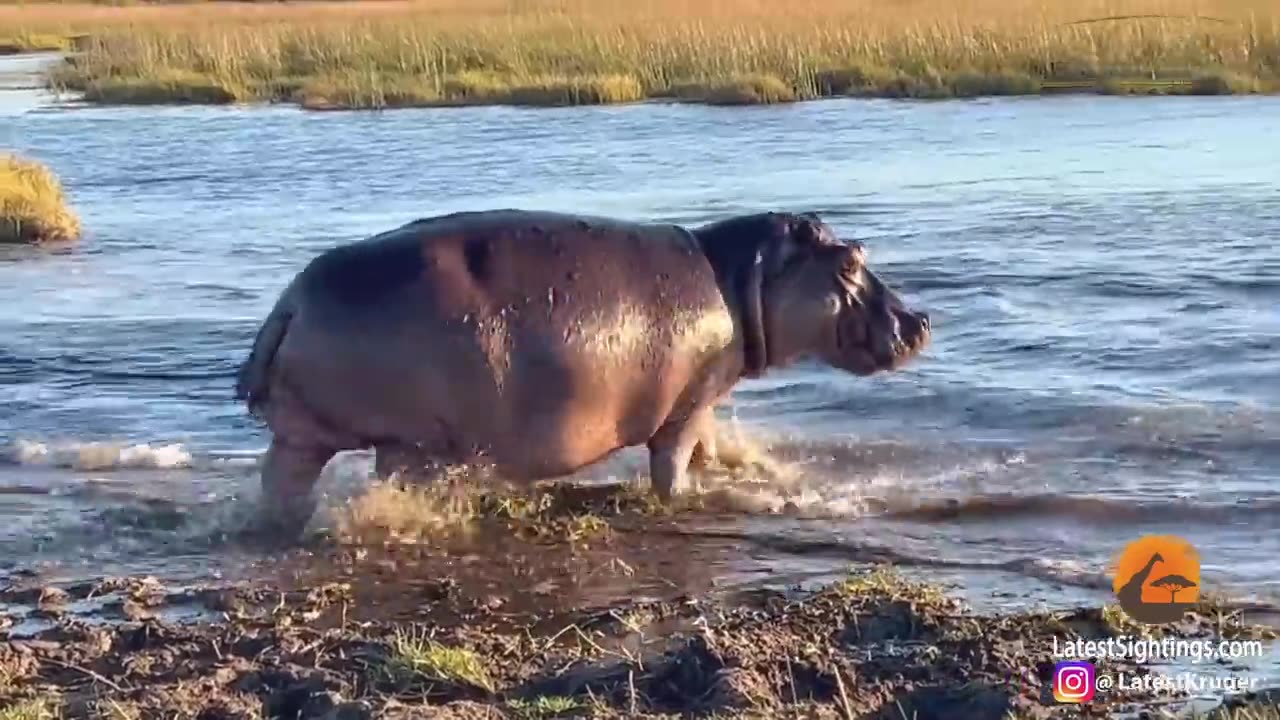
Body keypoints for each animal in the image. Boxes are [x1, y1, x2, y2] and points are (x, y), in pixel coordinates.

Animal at [235, 207, 931, 532]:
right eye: (851, 258)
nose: (921, 319)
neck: (743, 278)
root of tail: (290, 300)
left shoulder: (702, 399)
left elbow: (710, 448)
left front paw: (745, 474)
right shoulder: (687, 402)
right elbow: (672, 466)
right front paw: (683, 499)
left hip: (303, 434)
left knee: (283, 483)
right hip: (412, 442)